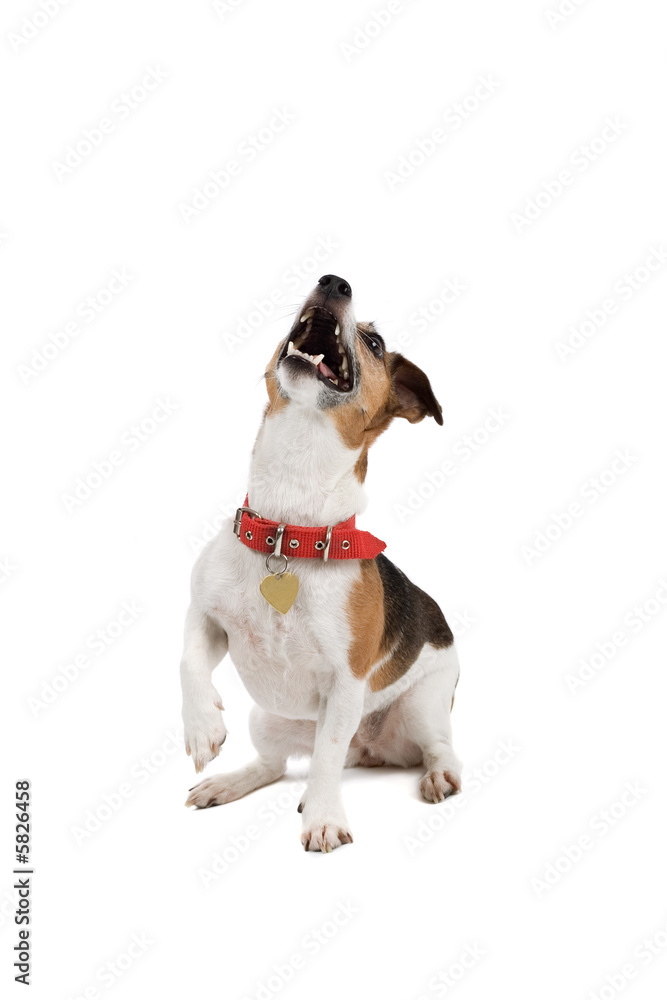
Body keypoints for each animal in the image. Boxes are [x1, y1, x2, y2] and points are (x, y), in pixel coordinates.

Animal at [183, 274, 464, 852]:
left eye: (375, 343)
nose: (334, 281)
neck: (288, 533)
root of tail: (372, 750)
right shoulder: (206, 618)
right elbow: (189, 663)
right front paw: (201, 728)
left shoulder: (344, 684)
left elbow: (328, 758)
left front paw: (324, 818)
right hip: (267, 719)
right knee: (274, 765)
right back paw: (229, 783)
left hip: (424, 706)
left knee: (435, 749)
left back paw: (437, 776)